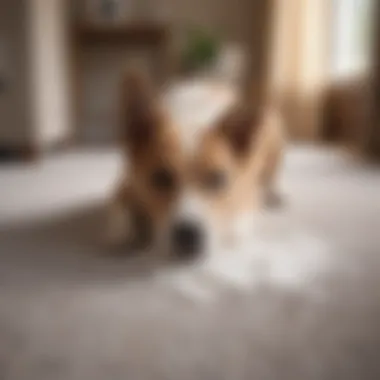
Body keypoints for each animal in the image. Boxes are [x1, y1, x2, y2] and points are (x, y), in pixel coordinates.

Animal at [105, 68, 284, 260]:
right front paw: (132, 228)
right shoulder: (128, 181)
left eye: (217, 179)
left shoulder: (246, 197)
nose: (188, 235)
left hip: (274, 132)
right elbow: (116, 219)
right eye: (160, 178)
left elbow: (237, 216)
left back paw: (274, 194)